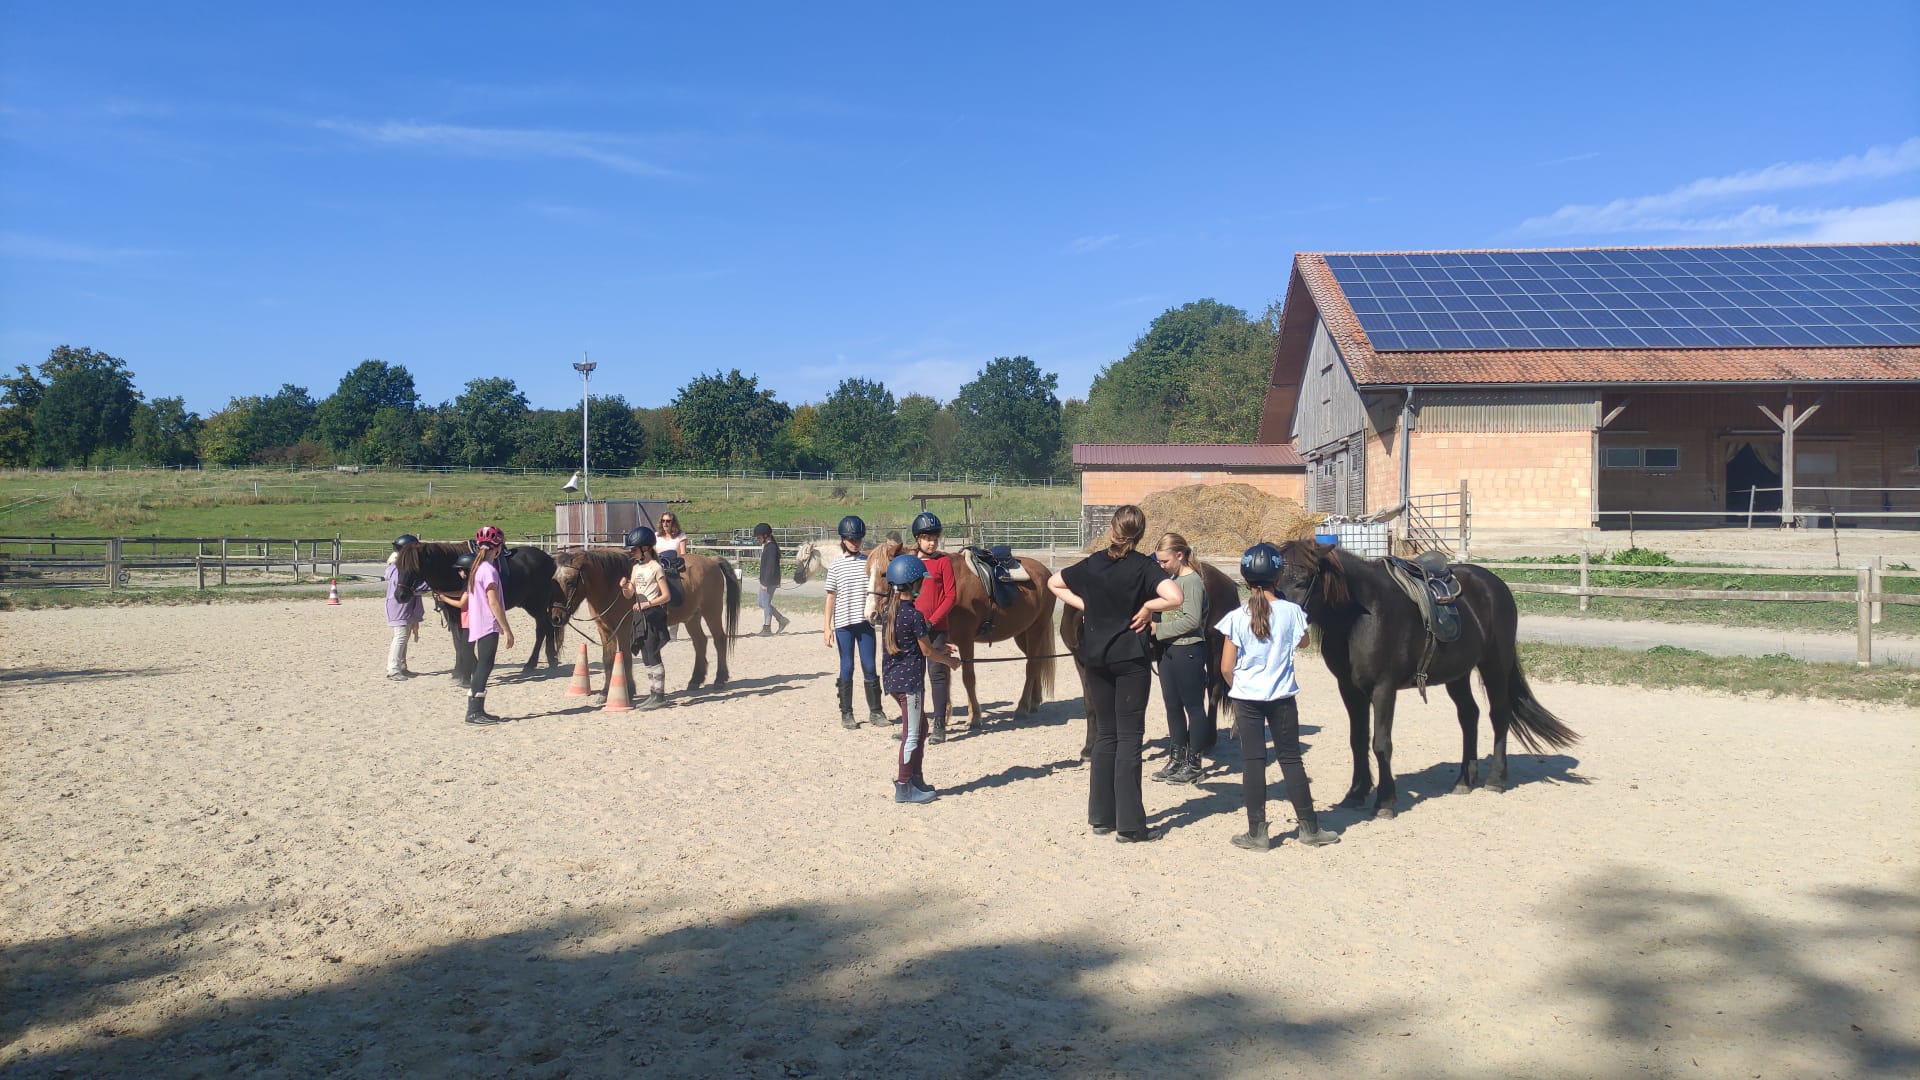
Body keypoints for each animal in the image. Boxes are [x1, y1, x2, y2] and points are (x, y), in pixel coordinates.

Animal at [395, 538, 560, 680]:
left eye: (415, 567)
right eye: (398, 566)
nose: (400, 595)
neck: (452, 571)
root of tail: (549, 559)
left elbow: (462, 640)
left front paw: (466, 670)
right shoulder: (451, 613)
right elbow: (457, 641)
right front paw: (460, 670)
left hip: (536, 605)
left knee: (542, 629)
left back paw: (531, 663)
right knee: (548, 627)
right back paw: (552, 659)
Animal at [556, 545, 741, 699]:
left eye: (570, 582)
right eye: (554, 581)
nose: (556, 616)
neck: (613, 585)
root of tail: (712, 561)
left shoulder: (624, 630)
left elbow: (625, 658)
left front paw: (629, 691)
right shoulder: (605, 630)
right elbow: (608, 660)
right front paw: (605, 692)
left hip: (712, 611)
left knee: (719, 639)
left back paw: (720, 679)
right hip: (692, 617)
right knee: (700, 642)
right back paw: (695, 680)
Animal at [864, 538, 1059, 730]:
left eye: (884, 574)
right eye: (867, 573)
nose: (870, 614)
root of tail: (1045, 572)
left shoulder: (966, 641)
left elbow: (968, 678)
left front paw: (975, 717)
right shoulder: (942, 643)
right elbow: (945, 677)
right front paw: (944, 716)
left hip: (1036, 629)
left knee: (1032, 666)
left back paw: (1022, 708)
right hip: (1022, 633)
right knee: (1037, 663)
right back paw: (1034, 702)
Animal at [1059, 553, 1236, 757]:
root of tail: (1228, 582)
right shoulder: (1082, 663)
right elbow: (1090, 704)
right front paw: (1089, 748)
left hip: (1215, 650)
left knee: (1213, 692)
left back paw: (1209, 741)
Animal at [1274, 538, 1574, 814]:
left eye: (1303, 580)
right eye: (1274, 582)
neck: (1361, 616)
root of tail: (1495, 584)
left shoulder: (1383, 688)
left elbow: (1381, 743)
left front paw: (1386, 801)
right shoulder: (1349, 689)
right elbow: (1357, 740)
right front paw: (1356, 793)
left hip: (1495, 665)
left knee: (1499, 714)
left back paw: (1496, 779)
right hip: (1458, 674)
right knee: (1469, 716)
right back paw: (1465, 780)